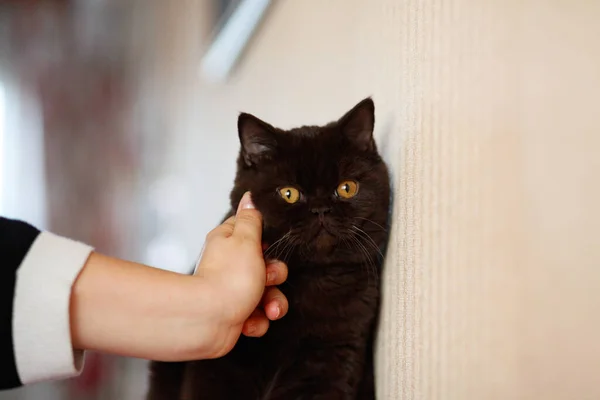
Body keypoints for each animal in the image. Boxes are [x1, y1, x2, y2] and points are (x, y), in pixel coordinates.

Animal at [149, 97, 394, 400]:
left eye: (347, 188)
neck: (311, 283)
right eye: (289, 193)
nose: (320, 209)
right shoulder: (219, 368)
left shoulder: (333, 356)